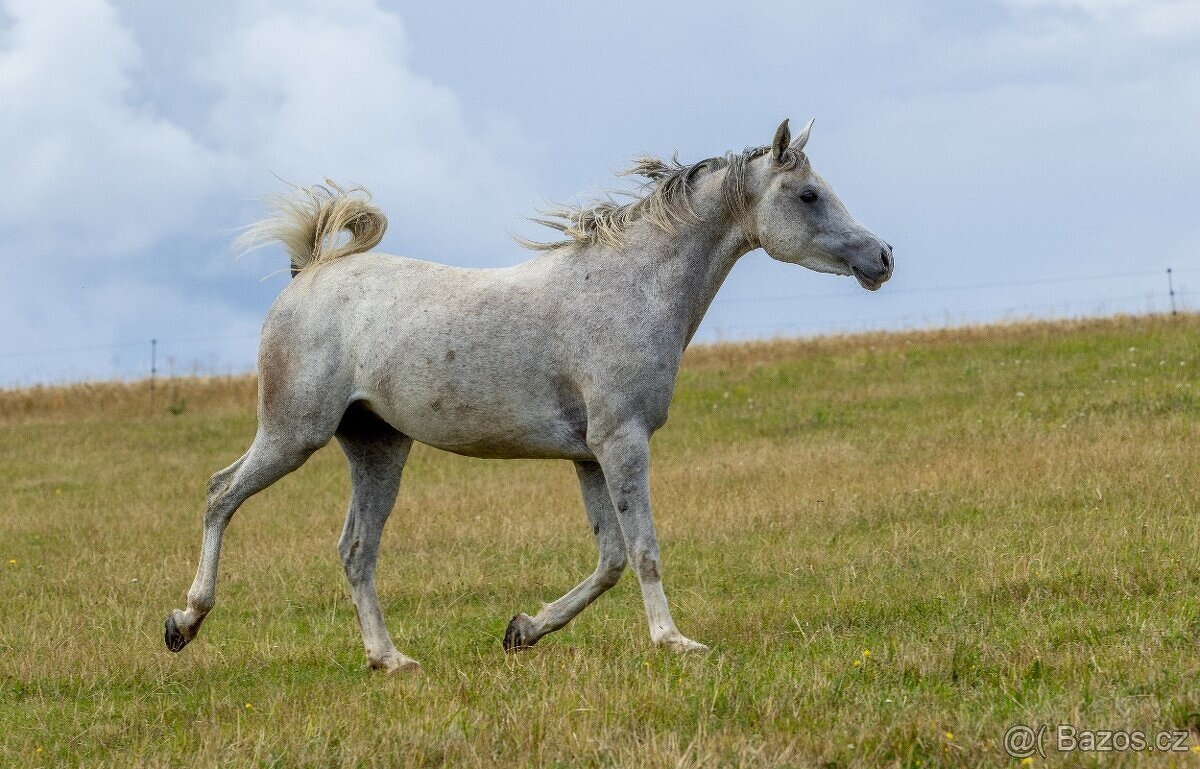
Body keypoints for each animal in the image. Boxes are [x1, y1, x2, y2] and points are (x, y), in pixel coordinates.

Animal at [166, 116, 892, 667]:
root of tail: (311, 270)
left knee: (355, 549)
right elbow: (644, 550)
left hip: (377, 448)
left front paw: (523, 629)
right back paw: (184, 622)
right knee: (221, 493)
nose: (883, 257)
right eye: (808, 195)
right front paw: (674, 641)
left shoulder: (589, 456)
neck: (630, 288)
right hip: (294, 433)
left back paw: (389, 659)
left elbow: (610, 559)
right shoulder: (622, 442)